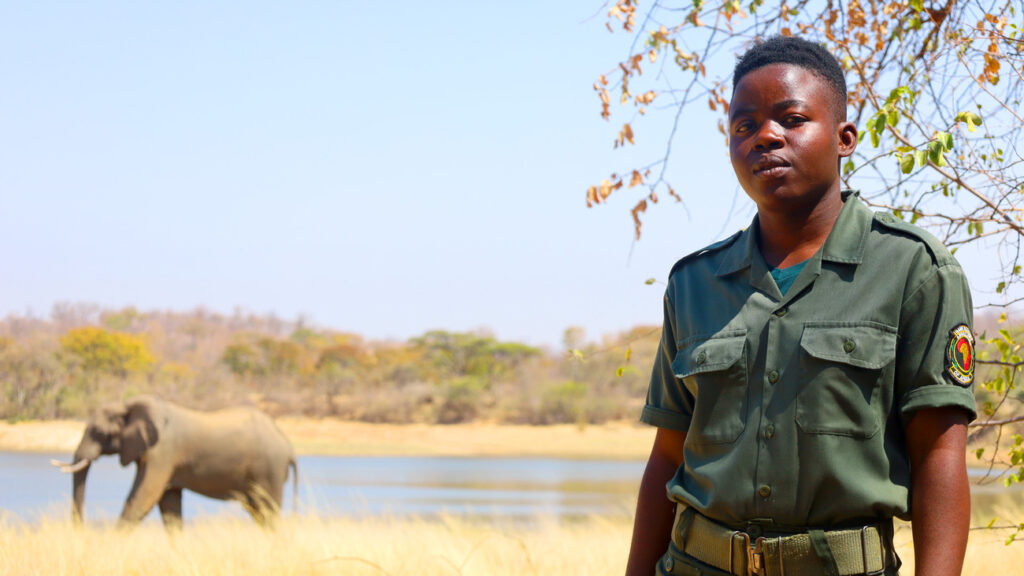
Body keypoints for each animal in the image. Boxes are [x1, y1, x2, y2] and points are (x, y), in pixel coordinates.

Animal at [51, 395, 298, 529]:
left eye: (100, 433)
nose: (80, 530)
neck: (128, 405)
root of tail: (288, 447)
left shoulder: (163, 452)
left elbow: (142, 498)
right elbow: (168, 505)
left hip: (269, 469)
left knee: (267, 511)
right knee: (258, 512)